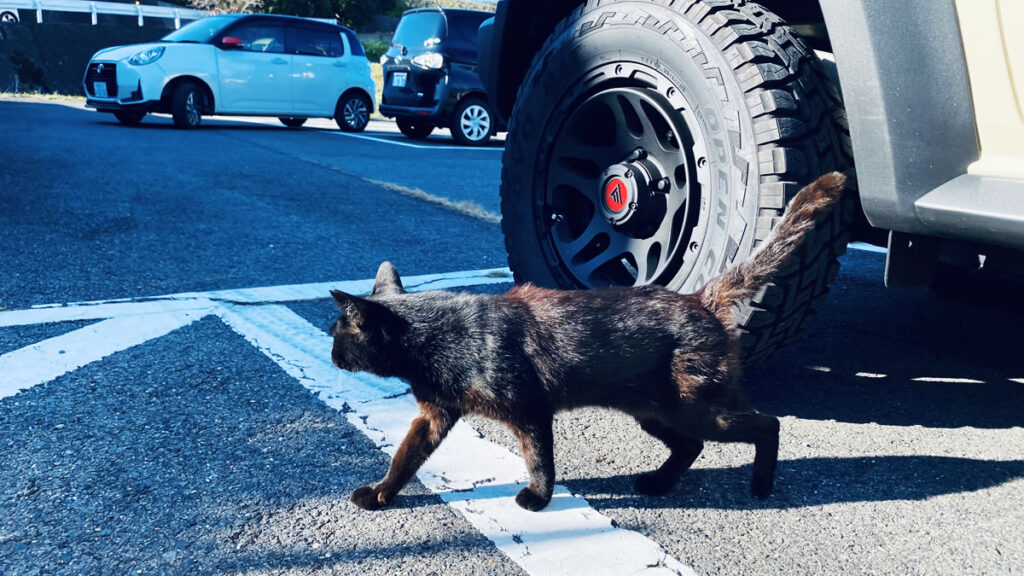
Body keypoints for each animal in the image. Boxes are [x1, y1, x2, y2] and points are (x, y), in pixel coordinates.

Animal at [331, 172, 843, 508]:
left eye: (338, 334)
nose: (333, 356)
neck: (442, 337)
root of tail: (702, 297)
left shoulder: (529, 411)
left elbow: (540, 460)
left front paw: (538, 499)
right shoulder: (433, 417)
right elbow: (404, 460)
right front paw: (380, 493)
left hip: (696, 409)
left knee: (767, 425)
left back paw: (760, 486)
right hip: (654, 411)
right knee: (690, 447)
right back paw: (659, 484)